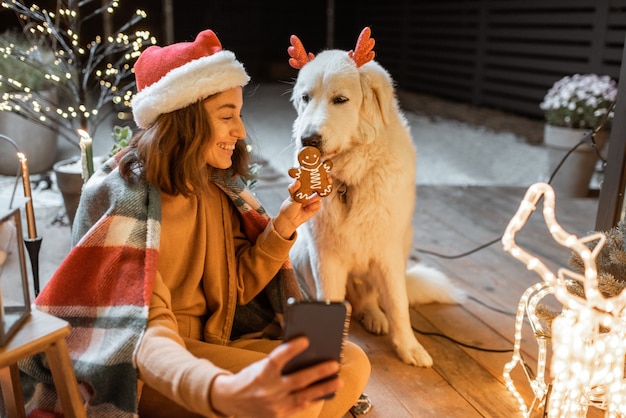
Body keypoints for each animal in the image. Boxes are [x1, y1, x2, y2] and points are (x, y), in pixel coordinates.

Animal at [286, 27, 460, 366]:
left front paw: (409, 347)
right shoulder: (325, 256)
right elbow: (329, 299)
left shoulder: (388, 253)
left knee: (371, 300)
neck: (349, 178)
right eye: (305, 98)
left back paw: (374, 316)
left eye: (340, 100)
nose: (307, 140)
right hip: (301, 253)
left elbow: (398, 305)